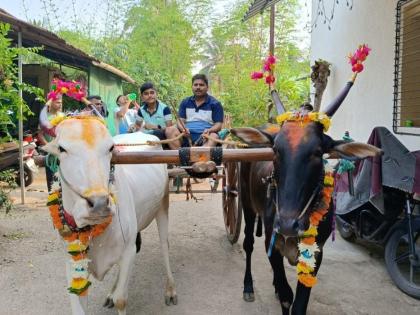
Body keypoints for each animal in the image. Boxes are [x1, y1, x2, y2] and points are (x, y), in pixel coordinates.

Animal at [44, 117, 177, 314]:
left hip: (163, 204)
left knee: (164, 246)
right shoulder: (71, 261)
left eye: (110, 148)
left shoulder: (128, 250)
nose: (99, 204)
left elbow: (121, 300)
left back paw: (170, 289)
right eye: (61, 149)